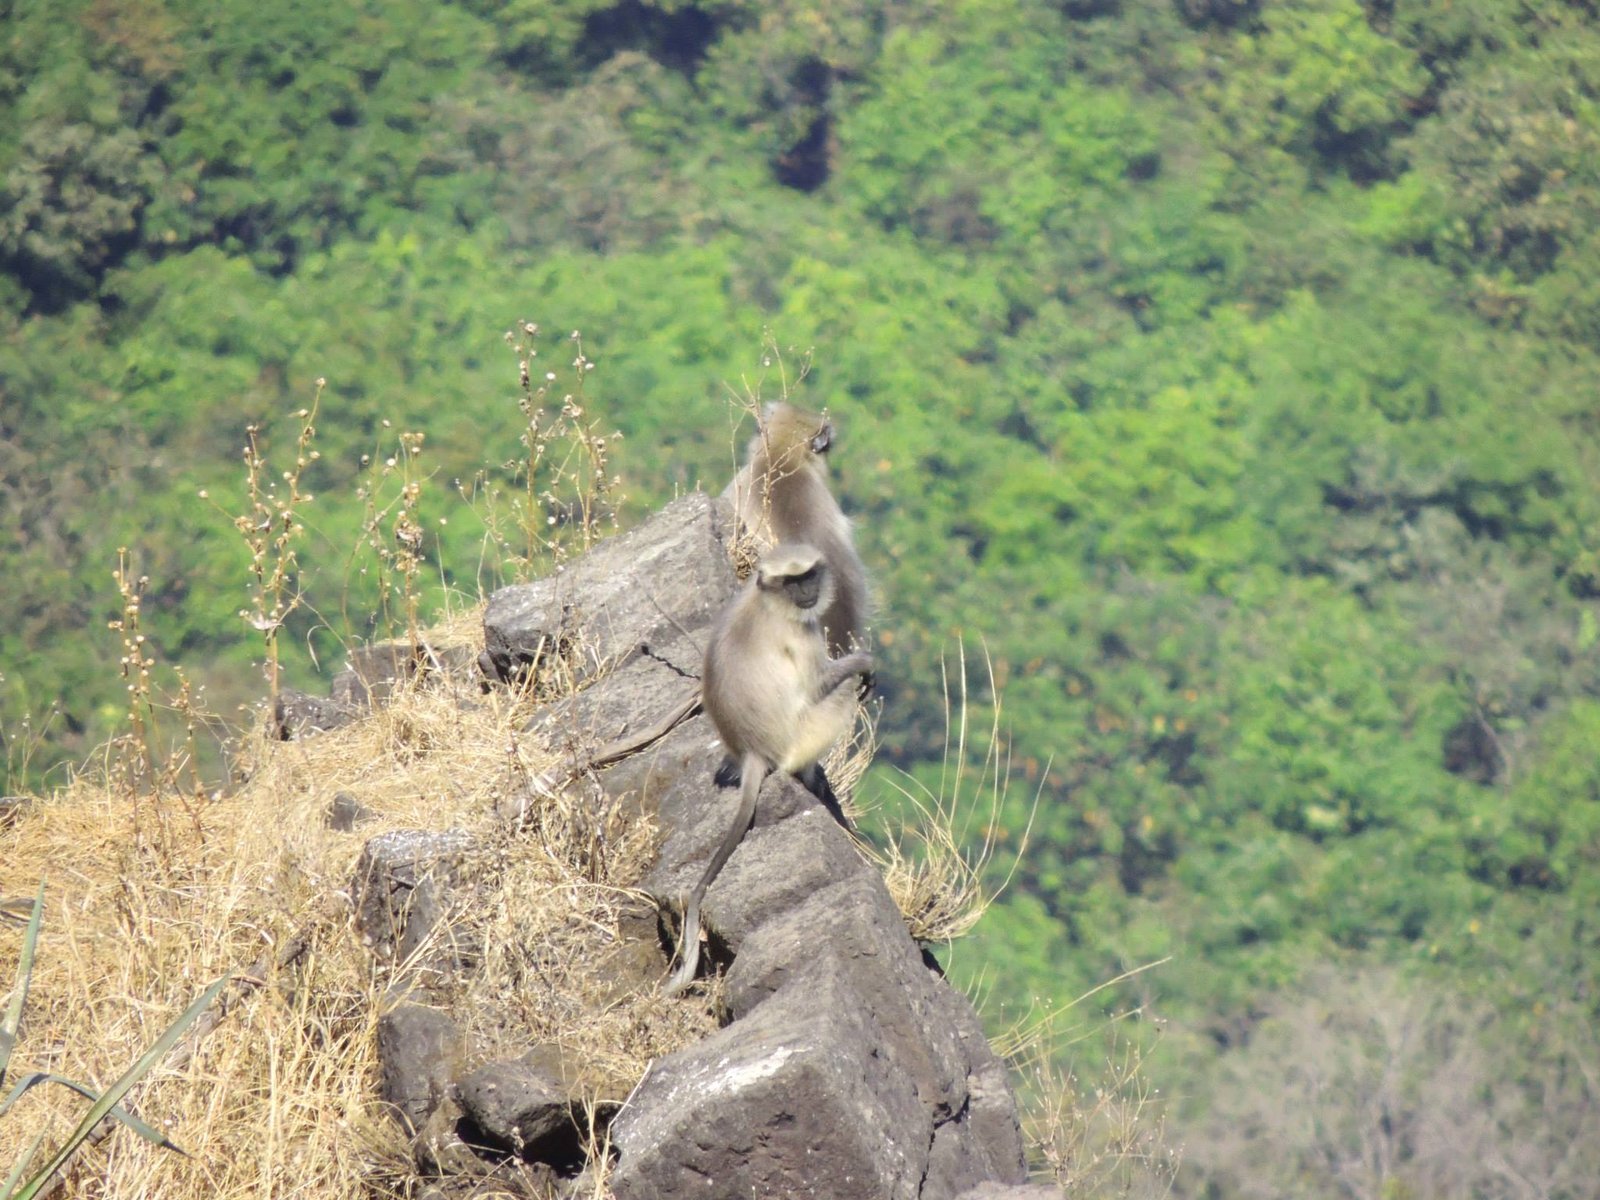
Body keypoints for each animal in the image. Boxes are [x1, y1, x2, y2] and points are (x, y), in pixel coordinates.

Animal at [664, 543, 874, 995]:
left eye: (808, 576)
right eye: (792, 582)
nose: (807, 592)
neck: (766, 600)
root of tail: (753, 752)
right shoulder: (800, 631)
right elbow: (818, 684)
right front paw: (864, 662)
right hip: (803, 735)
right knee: (838, 695)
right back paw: (810, 778)